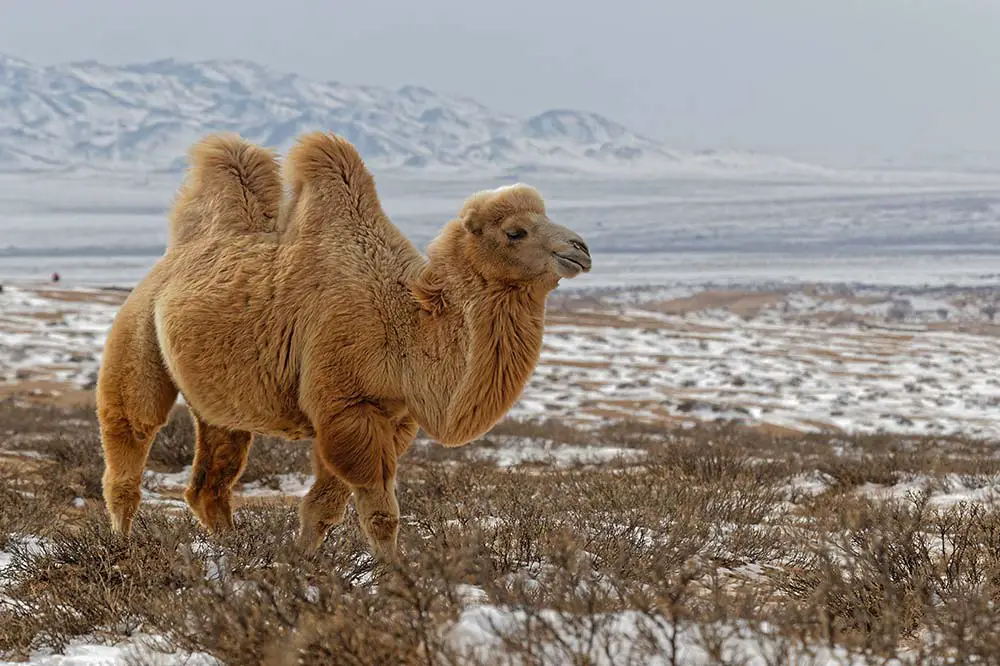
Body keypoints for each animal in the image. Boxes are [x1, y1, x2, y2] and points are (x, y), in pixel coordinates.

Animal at [96, 130, 588, 556]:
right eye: (515, 231)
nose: (580, 248)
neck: (403, 322)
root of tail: (169, 261)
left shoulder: (391, 416)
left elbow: (322, 507)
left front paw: (299, 563)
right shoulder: (346, 406)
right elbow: (379, 513)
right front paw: (392, 579)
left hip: (220, 398)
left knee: (210, 481)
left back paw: (231, 550)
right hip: (136, 331)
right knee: (130, 436)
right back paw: (121, 545)